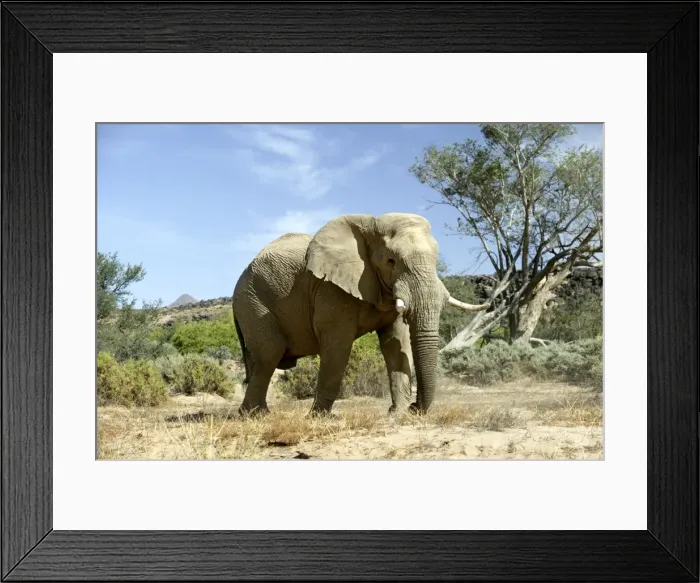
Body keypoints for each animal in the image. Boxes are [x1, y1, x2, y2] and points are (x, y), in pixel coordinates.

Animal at [232, 212, 489, 417]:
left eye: (437, 260)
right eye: (391, 261)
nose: (416, 407)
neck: (370, 226)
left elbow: (396, 344)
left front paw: (397, 413)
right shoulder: (331, 289)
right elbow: (338, 347)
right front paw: (321, 418)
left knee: (260, 360)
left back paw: (259, 413)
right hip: (253, 302)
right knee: (269, 355)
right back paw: (254, 416)